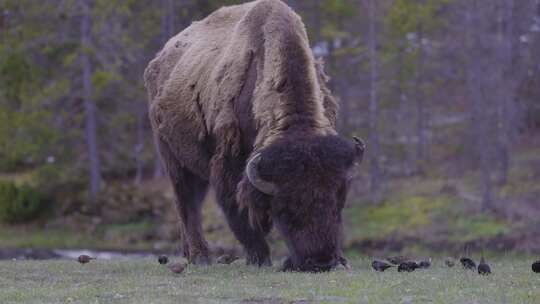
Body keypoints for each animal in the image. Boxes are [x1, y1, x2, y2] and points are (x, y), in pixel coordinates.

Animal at [144, 0, 362, 272]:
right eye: (285, 208)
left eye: (338, 201)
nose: (321, 262)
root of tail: (157, 63)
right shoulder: (229, 167)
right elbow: (240, 214)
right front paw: (260, 258)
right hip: (173, 159)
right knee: (187, 204)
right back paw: (200, 257)